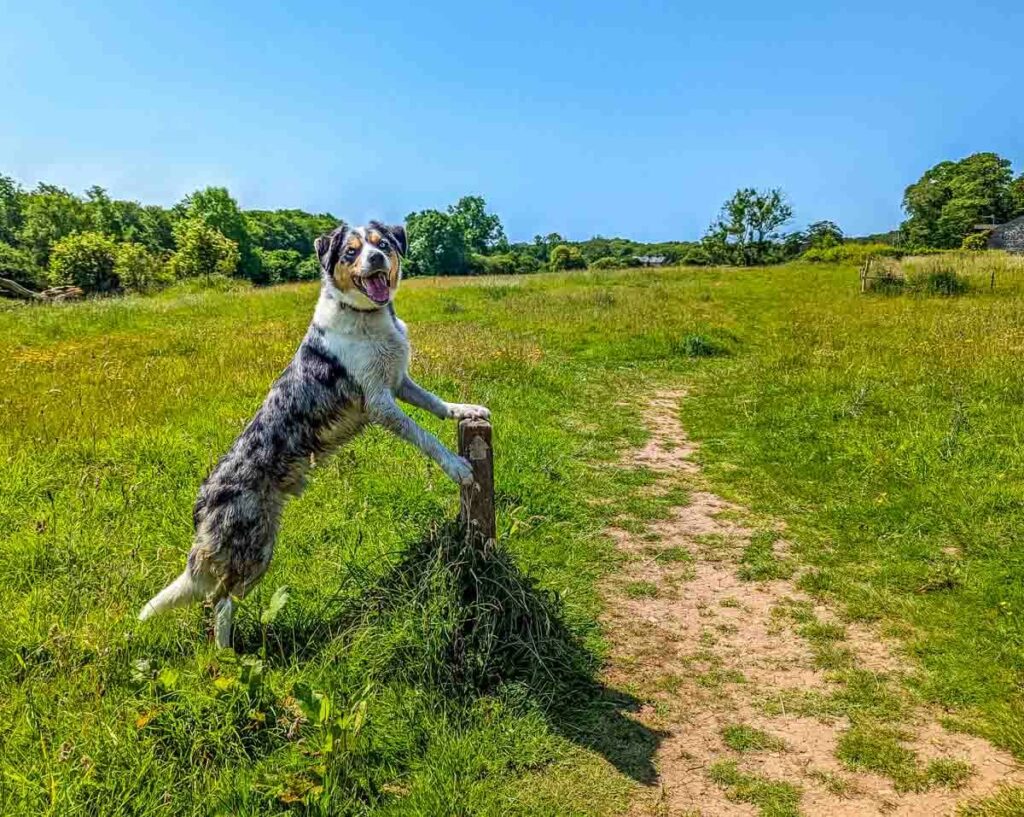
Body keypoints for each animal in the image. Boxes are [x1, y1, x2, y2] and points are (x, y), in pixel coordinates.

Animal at [139, 221, 487, 651]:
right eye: (351, 252)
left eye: (383, 245)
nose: (376, 258)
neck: (366, 316)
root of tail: (204, 498)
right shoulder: (380, 403)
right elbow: (426, 437)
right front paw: (457, 466)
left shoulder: (399, 382)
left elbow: (436, 404)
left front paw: (466, 411)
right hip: (252, 548)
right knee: (220, 601)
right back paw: (227, 657)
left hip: (255, 546)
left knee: (213, 599)